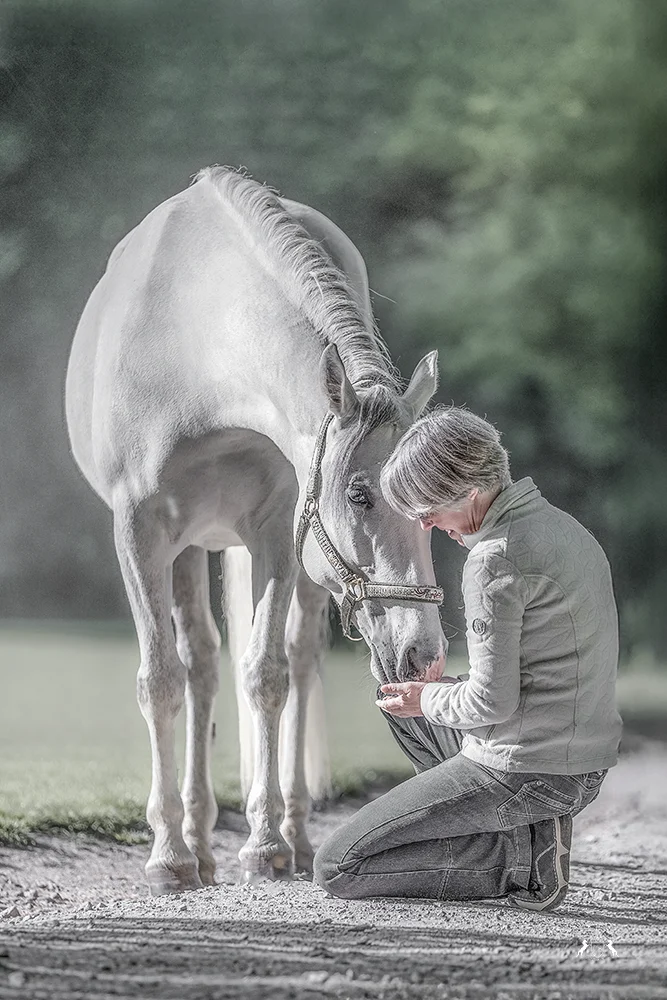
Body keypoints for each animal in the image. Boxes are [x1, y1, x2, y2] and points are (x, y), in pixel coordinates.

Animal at [65, 167, 446, 894]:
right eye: (359, 493)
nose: (423, 653)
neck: (196, 353)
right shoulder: (140, 530)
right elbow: (161, 679)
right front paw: (167, 855)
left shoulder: (277, 531)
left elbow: (267, 675)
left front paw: (266, 844)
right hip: (188, 548)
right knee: (198, 664)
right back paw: (195, 843)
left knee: (295, 660)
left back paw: (292, 836)